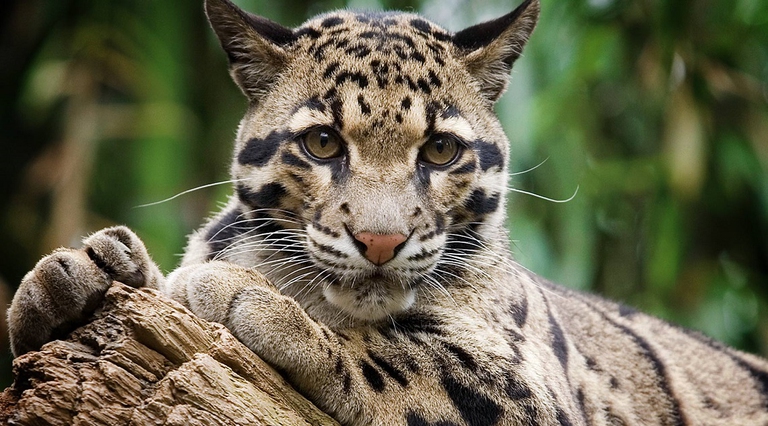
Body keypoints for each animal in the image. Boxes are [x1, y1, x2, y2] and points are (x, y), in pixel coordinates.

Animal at [8, 0, 768, 424]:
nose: (379, 240)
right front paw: (81, 274)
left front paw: (250, 299)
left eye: (440, 149)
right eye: (321, 142)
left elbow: (399, 355)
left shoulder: (535, 391)